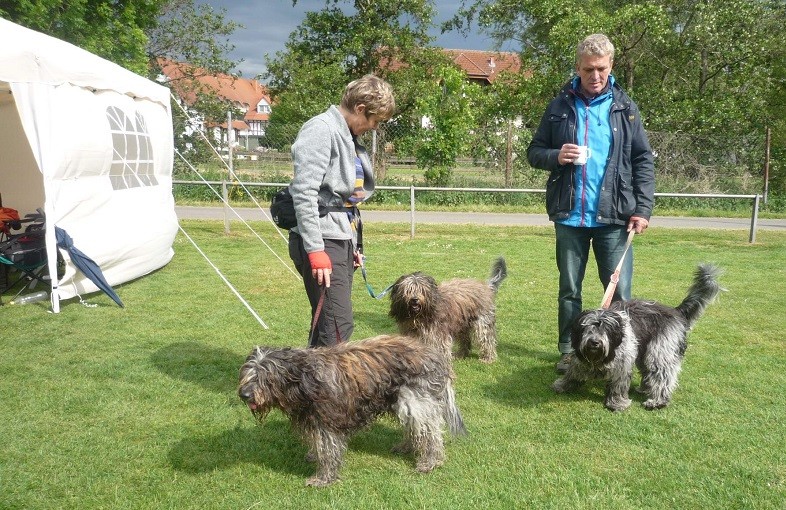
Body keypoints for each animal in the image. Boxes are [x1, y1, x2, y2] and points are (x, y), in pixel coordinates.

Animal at [236, 334, 462, 486]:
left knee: (430, 434)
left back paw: (430, 461)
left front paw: (323, 478)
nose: (244, 395)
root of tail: (435, 355)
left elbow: (328, 452)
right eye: (246, 373)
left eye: (264, 376)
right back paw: (407, 446)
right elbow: (319, 447)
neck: (303, 379)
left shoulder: (326, 422)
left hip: (416, 402)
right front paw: (314, 457)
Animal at [548, 262, 720, 410]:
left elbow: (618, 385)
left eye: (605, 330)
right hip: (644, 352)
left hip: (660, 351)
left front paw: (616, 403)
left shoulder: (622, 364)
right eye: (587, 329)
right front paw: (562, 385)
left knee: (662, 374)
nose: (595, 342)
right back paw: (644, 389)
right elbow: (573, 372)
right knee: (648, 372)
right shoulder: (580, 358)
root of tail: (675, 311)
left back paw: (657, 401)